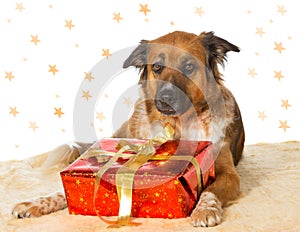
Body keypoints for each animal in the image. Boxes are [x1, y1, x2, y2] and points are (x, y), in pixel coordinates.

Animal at [12, 30, 245, 227]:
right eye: (157, 67)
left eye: (189, 67)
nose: (166, 97)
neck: (177, 124)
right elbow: (62, 190)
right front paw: (38, 201)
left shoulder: (228, 173)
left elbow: (210, 191)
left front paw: (204, 210)